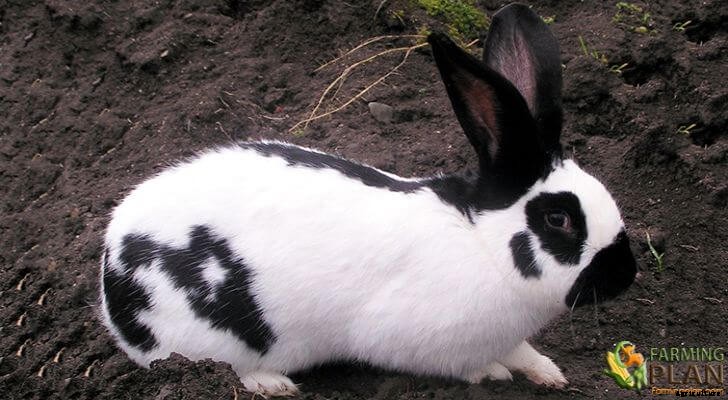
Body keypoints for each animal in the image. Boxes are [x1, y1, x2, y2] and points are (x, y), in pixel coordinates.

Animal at [100, 3, 637, 397]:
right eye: (559, 219)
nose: (626, 275)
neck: (483, 244)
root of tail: (109, 273)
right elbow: (469, 366)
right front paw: (494, 375)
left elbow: (523, 351)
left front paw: (549, 372)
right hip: (213, 339)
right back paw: (275, 384)